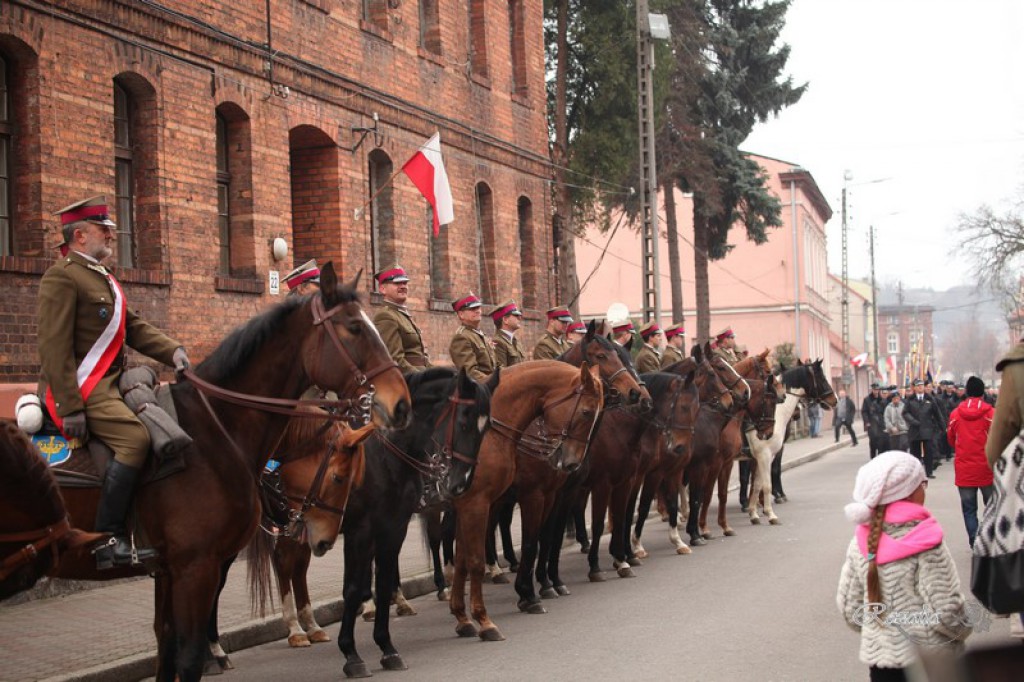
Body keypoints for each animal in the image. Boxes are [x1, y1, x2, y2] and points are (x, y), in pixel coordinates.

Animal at [47, 261, 407, 679]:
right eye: (354, 327)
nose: (400, 404)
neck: (212, 429)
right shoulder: (196, 561)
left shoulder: (182, 563)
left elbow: (166, 640)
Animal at [446, 358, 598, 638]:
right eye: (586, 412)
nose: (572, 463)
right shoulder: (526, 496)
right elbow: (528, 543)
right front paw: (528, 595)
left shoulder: (551, 494)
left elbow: (544, 538)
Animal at [741, 358, 835, 522]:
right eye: (822, 378)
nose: (835, 400)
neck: (776, 413)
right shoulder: (765, 455)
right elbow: (767, 481)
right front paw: (770, 511)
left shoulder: (762, 456)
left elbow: (758, 483)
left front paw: (754, 512)